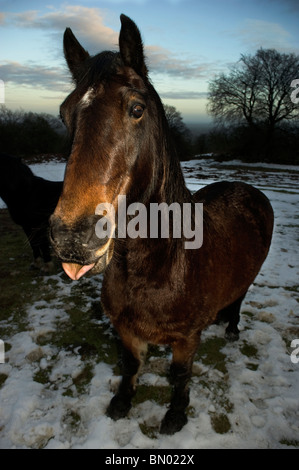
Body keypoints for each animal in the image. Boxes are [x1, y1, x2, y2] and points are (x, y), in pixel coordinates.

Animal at [50, 13, 276, 434]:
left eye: (136, 109)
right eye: (64, 113)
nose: (72, 237)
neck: (160, 266)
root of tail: (249, 189)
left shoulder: (185, 339)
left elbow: (180, 374)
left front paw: (176, 414)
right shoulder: (125, 331)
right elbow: (131, 365)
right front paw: (122, 402)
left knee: (240, 297)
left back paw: (231, 327)